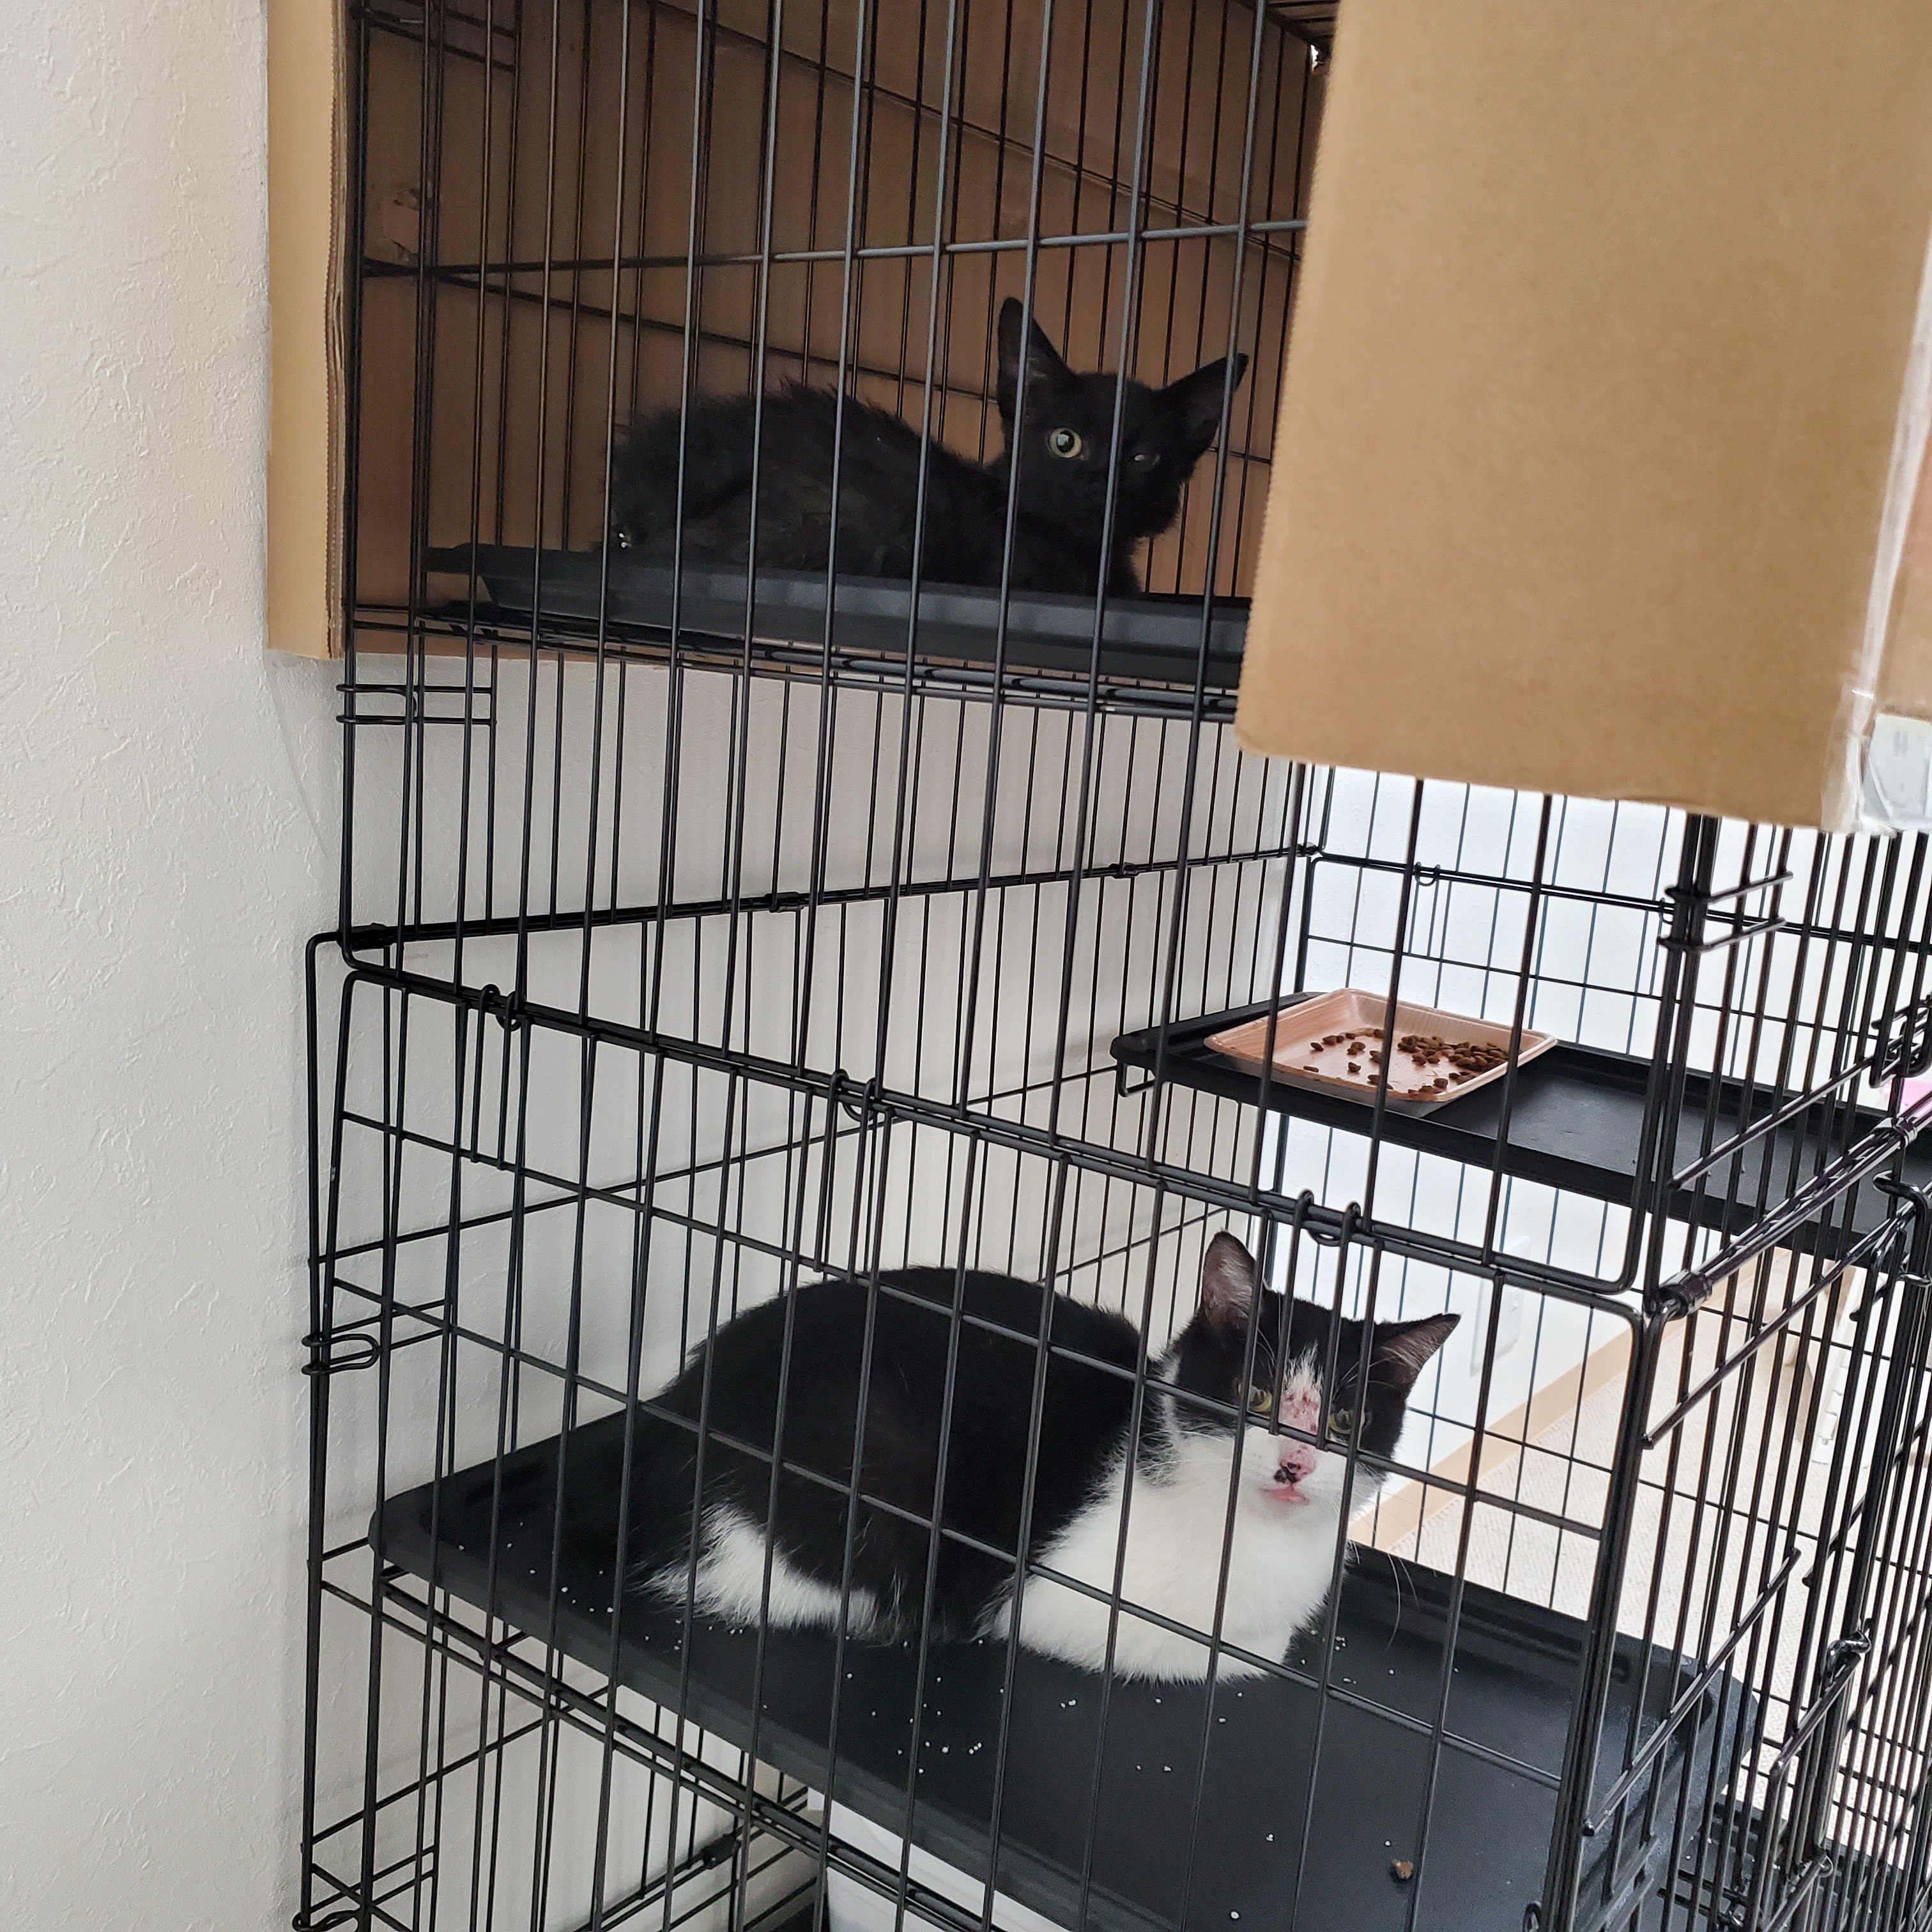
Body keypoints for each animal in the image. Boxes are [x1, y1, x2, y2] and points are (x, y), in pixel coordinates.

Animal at [604, 1231, 1456, 1682]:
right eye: (1255, 1393)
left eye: (1345, 1420)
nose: (1293, 1465)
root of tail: (681, 1404)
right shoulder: (1062, 1598)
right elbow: (1245, 1652)